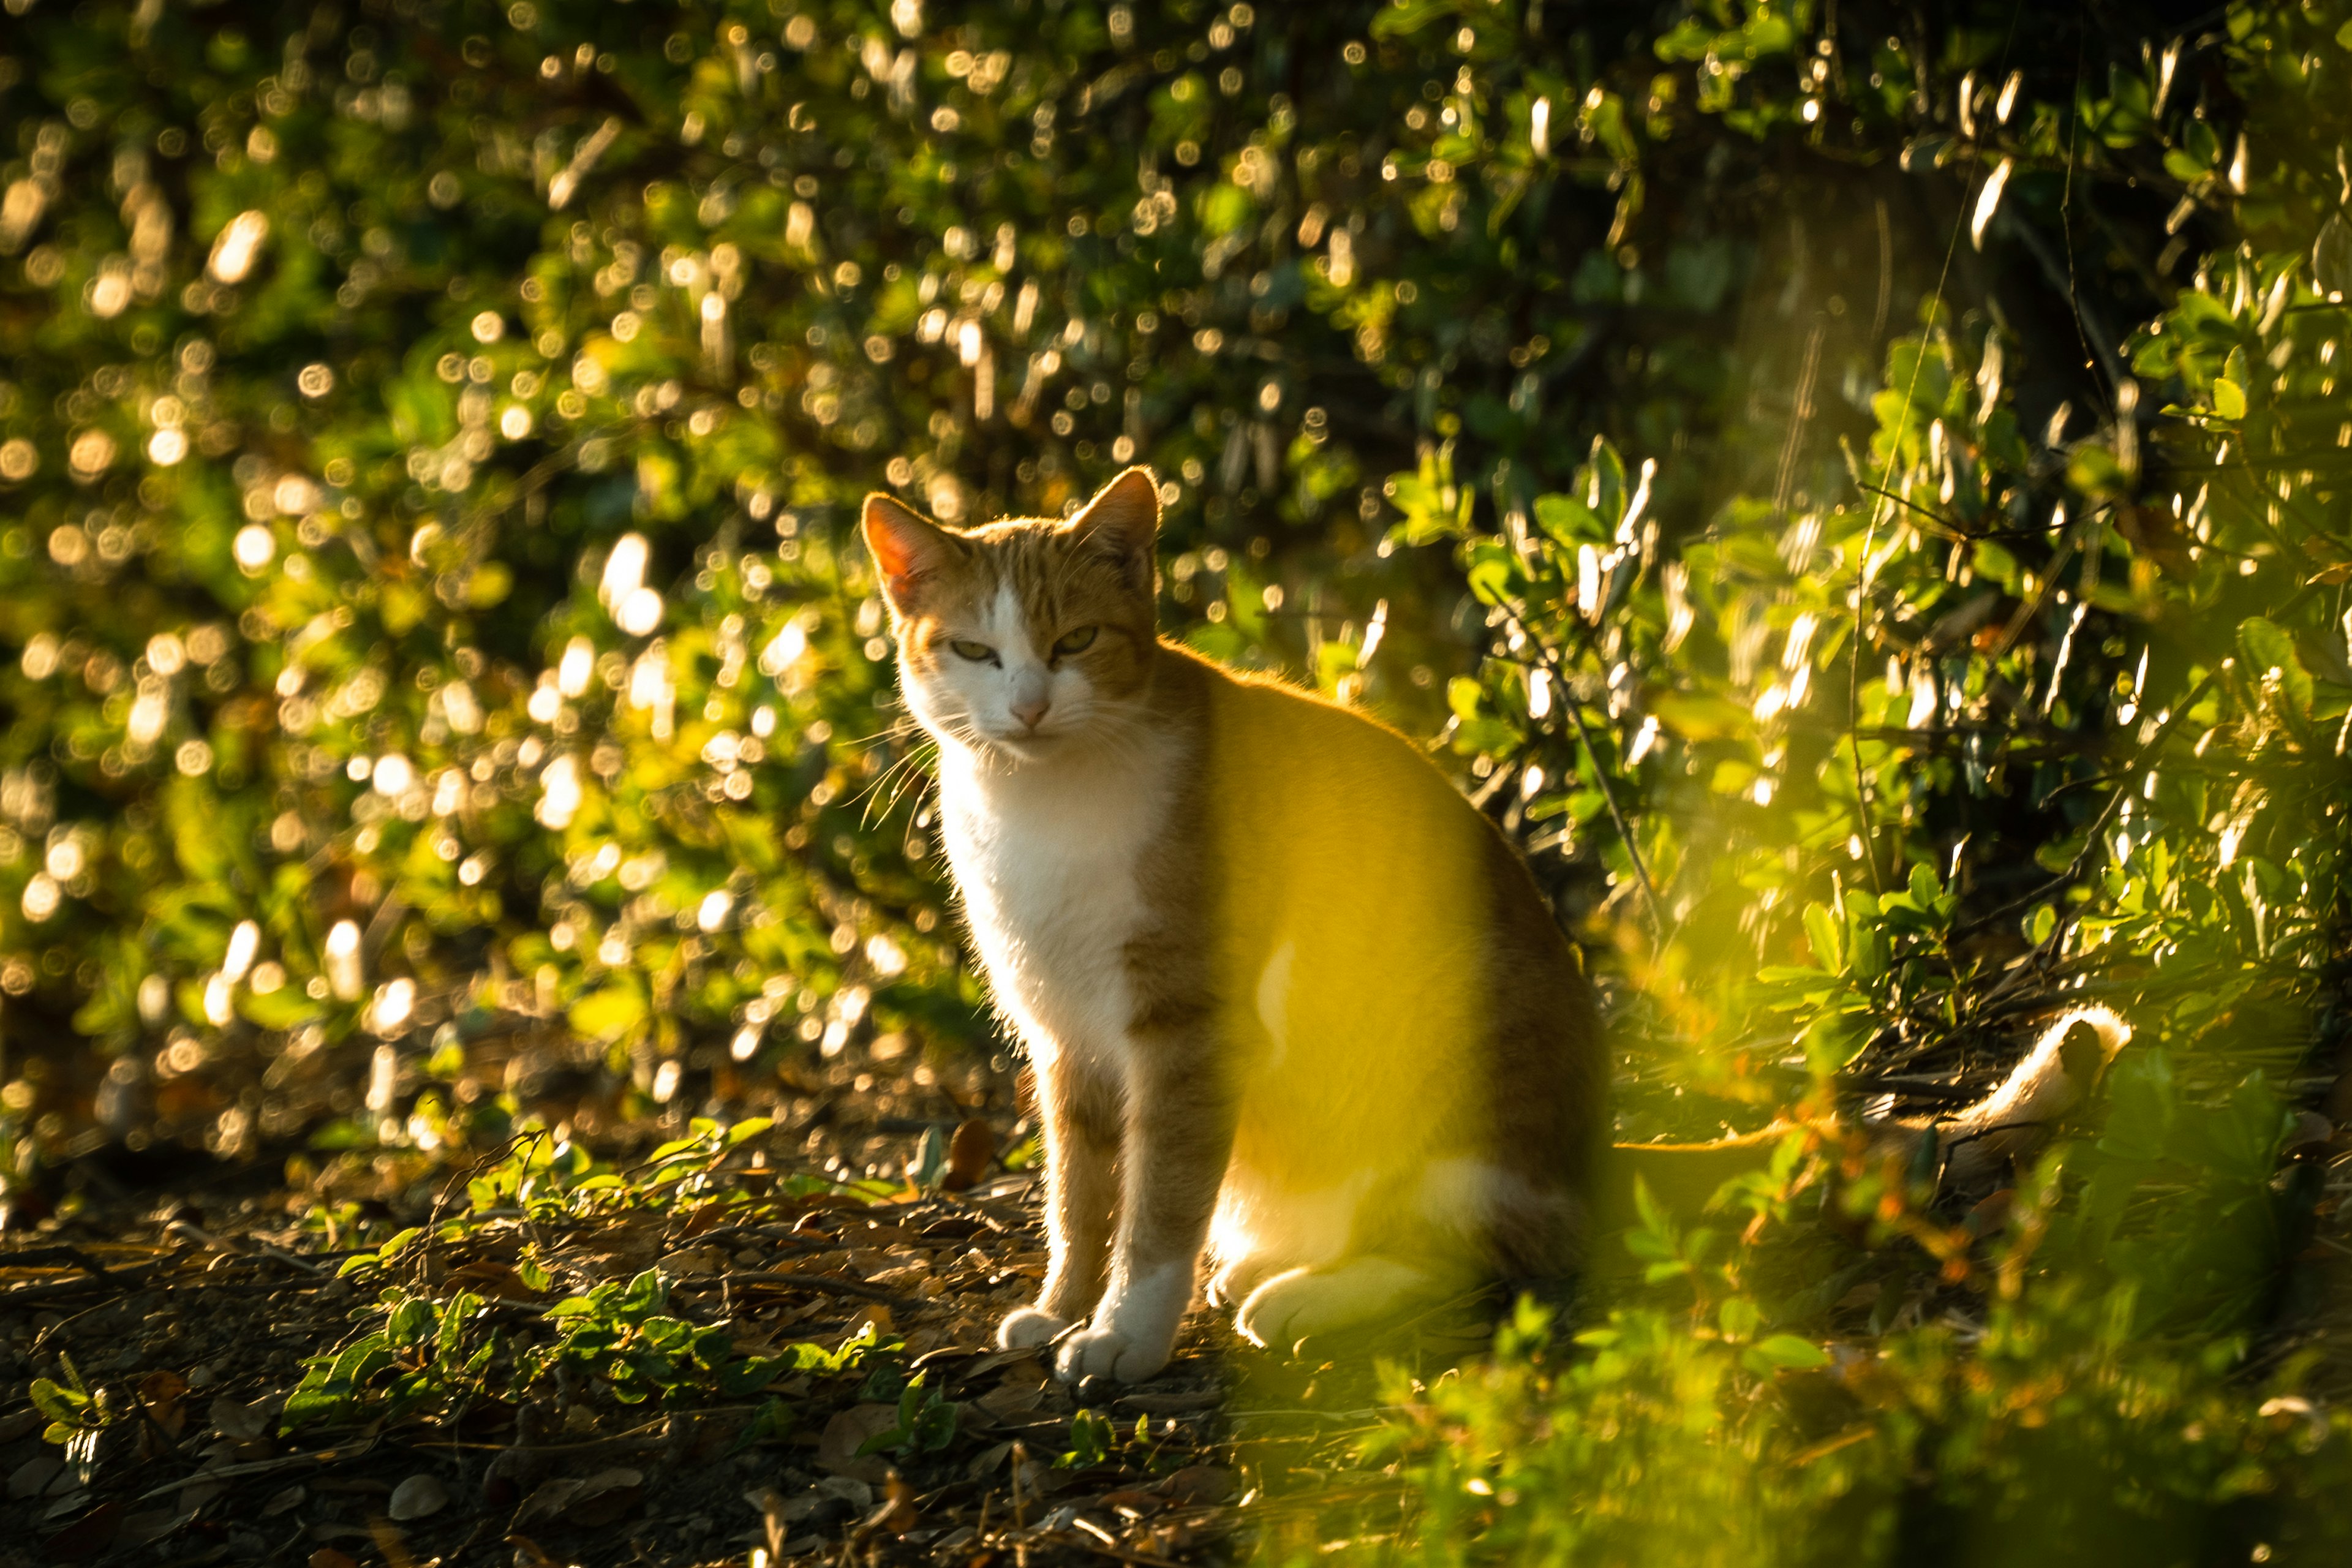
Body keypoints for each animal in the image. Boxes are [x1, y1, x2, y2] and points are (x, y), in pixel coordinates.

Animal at [875, 470, 1608, 1382]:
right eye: (975, 652)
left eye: (1076, 640)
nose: (1031, 707)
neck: (1041, 809)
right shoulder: (1068, 1039)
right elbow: (1082, 1196)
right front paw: (1064, 1307)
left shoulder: (1189, 1030)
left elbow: (1161, 1199)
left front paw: (1125, 1332)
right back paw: (1266, 1264)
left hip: (1460, 1038)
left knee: (1473, 1249)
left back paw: (1308, 1295)